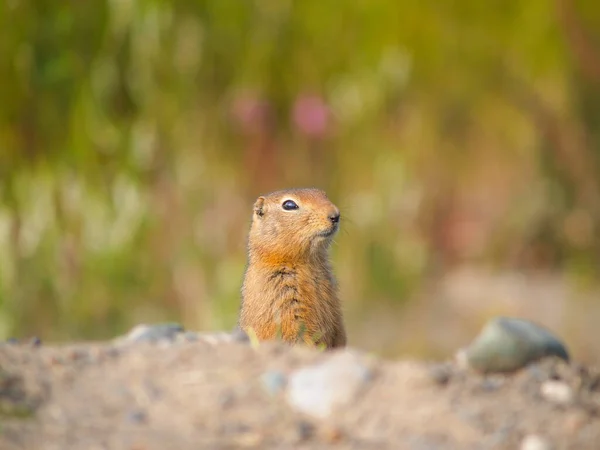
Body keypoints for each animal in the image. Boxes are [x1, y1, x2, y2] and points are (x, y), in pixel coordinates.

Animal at [236, 188, 344, 350]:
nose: (335, 215)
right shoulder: (281, 297)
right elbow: (293, 331)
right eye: (289, 205)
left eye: (323, 194)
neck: (306, 261)